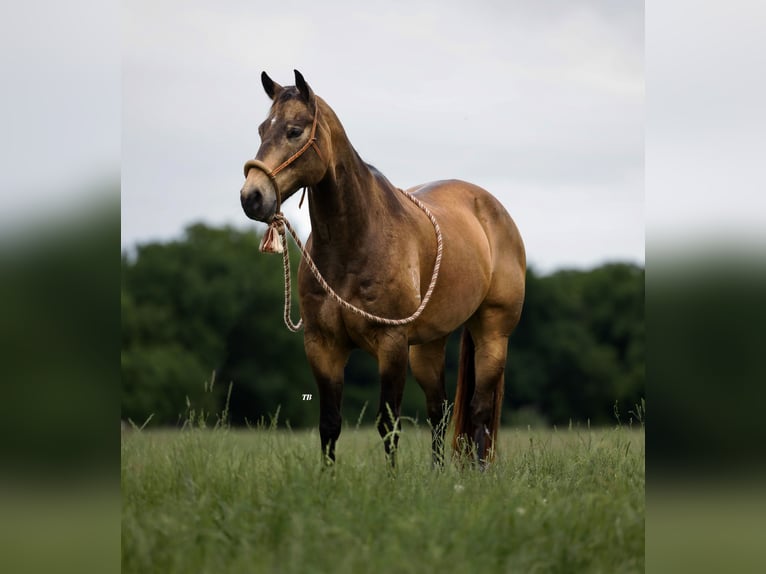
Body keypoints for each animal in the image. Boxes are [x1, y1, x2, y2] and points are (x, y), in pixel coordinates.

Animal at [240, 71, 528, 468]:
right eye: (261, 129)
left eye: (294, 131)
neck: (355, 242)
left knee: (480, 410)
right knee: (439, 412)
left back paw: (479, 472)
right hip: (427, 346)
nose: (251, 197)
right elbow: (329, 424)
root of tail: (492, 208)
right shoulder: (323, 345)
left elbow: (388, 425)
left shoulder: (391, 345)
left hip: (492, 334)